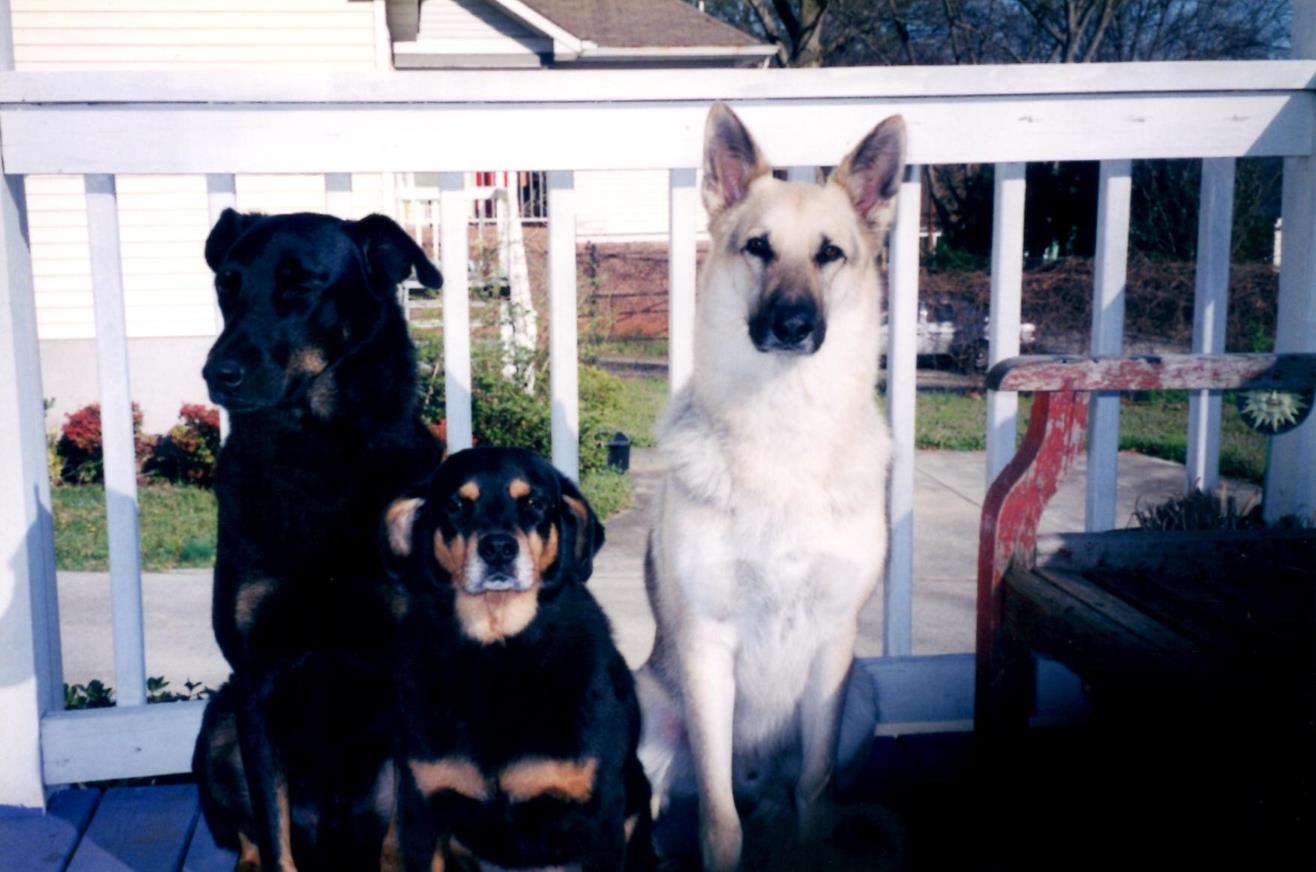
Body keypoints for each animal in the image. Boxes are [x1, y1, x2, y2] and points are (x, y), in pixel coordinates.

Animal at [190, 211, 444, 872]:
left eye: (301, 284)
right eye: (226, 283)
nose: (217, 374)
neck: (314, 449)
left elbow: (404, 841)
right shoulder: (256, 680)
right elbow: (273, 830)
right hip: (218, 723)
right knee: (254, 832)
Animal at [384, 449, 658, 872]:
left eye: (534, 503)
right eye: (456, 505)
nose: (498, 549)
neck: (498, 653)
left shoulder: (600, 815)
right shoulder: (421, 808)